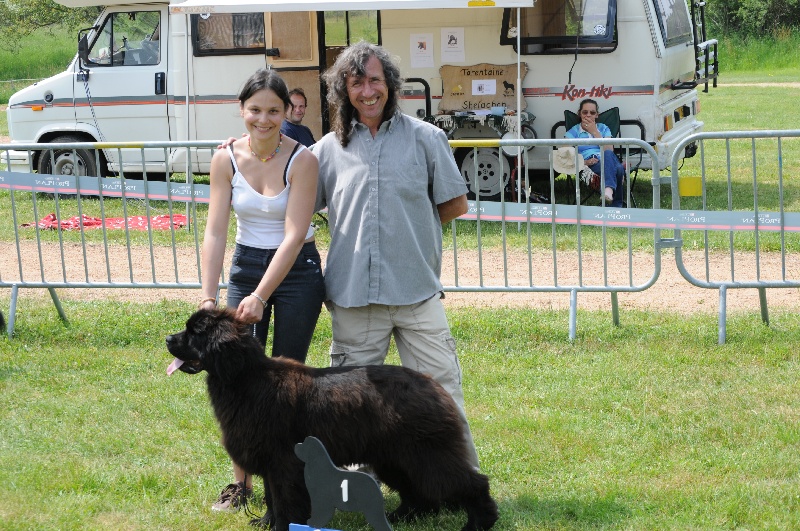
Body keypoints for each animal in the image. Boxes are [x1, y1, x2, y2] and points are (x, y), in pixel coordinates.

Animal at [166, 308, 498, 531]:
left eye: (194, 332)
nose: (168, 338)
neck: (245, 379)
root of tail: (431, 384)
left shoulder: (284, 463)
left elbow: (285, 500)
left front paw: (282, 526)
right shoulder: (271, 463)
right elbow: (272, 498)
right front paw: (266, 522)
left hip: (427, 453)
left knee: (469, 482)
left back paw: (479, 522)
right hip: (395, 456)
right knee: (418, 491)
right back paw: (401, 517)